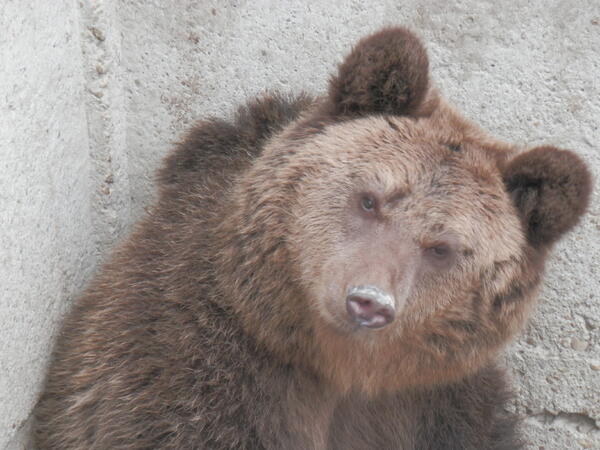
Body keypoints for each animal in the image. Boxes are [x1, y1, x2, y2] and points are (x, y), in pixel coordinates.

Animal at [32, 28, 592, 450]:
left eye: (442, 247)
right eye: (370, 199)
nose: (368, 301)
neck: (334, 369)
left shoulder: (439, 402)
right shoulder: (195, 371)